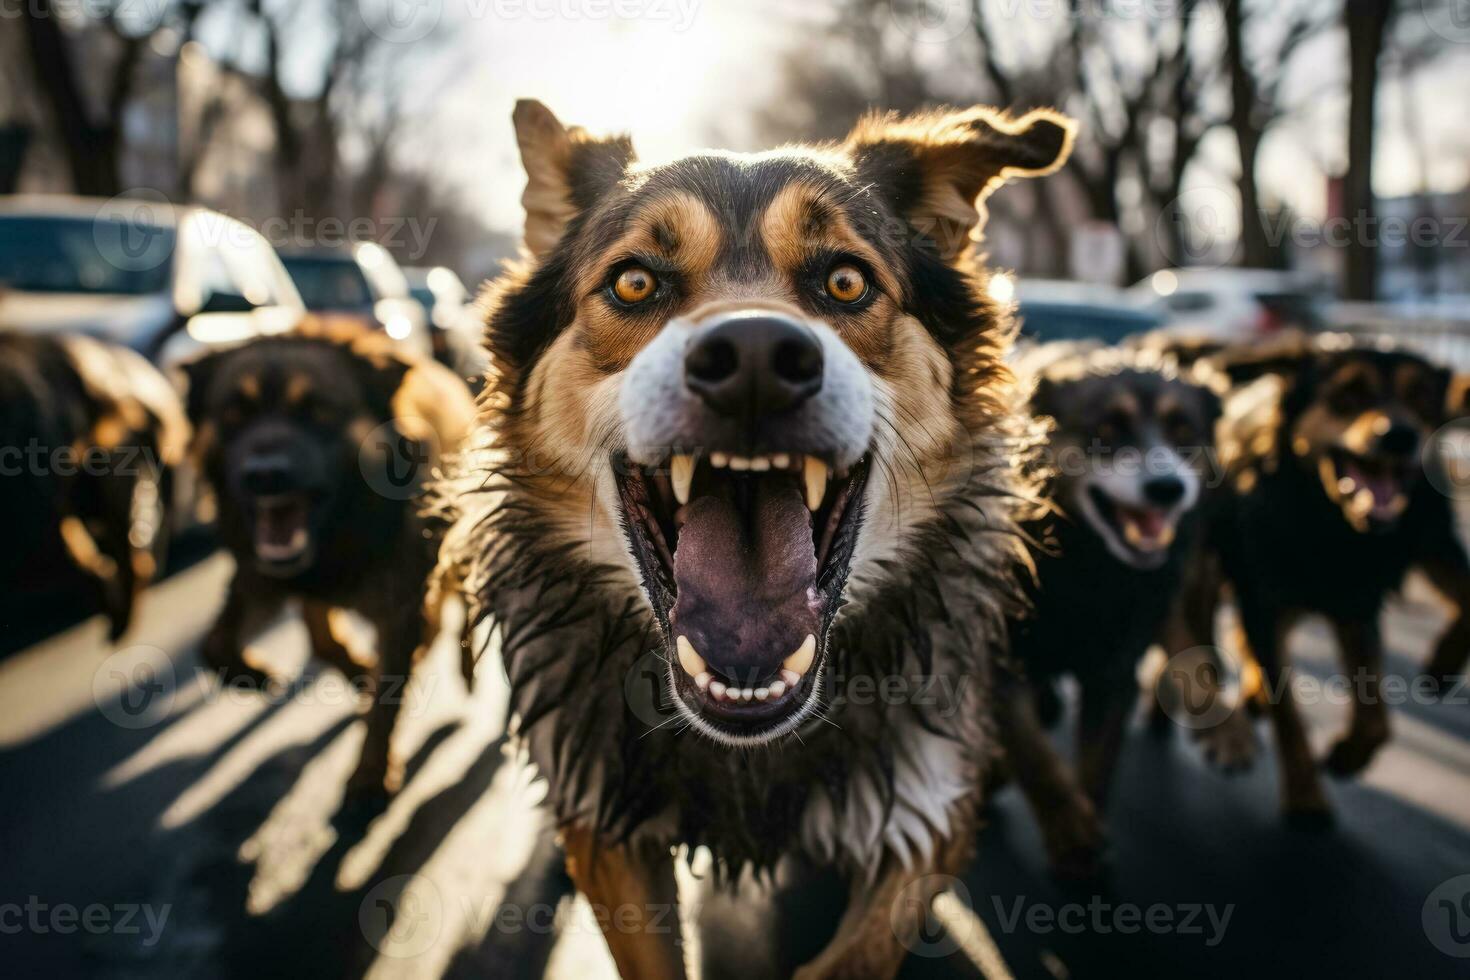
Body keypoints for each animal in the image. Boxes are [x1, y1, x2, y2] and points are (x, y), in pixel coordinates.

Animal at [180, 326, 473, 799]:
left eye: (317, 410)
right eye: (235, 412)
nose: (264, 475)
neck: (341, 532)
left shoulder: (400, 600)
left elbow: (387, 694)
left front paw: (370, 774)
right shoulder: (263, 572)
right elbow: (214, 642)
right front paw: (250, 672)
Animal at [429, 95, 1076, 975]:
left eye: (846, 280)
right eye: (635, 281)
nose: (755, 358)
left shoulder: (927, 808)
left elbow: (856, 953)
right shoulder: (610, 822)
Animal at [993, 340, 1223, 875]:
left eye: (1185, 433)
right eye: (1107, 431)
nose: (1167, 488)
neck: (1086, 567)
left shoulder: (1114, 673)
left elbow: (1096, 765)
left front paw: (1086, 830)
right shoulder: (996, 661)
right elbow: (1035, 756)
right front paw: (1071, 835)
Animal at [1170, 337, 1470, 828]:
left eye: (1421, 397)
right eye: (1347, 394)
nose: (1400, 436)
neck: (1327, 520)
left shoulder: (1358, 599)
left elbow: (1374, 712)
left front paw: (1350, 754)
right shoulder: (1263, 598)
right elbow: (1289, 714)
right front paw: (1306, 796)